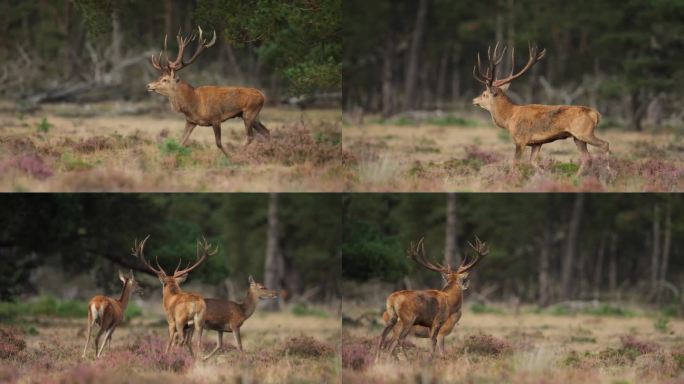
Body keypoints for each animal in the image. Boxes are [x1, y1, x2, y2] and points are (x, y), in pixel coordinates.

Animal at [147, 26, 270, 157]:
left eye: (165, 79)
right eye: (160, 77)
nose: (148, 85)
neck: (192, 104)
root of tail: (263, 96)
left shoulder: (216, 118)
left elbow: (218, 143)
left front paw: (229, 157)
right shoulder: (190, 121)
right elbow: (182, 142)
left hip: (249, 112)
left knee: (250, 136)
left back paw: (238, 154)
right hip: (254, 116)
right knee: (266, 132)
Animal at [470, 42, 608, 174]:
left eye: (484, 94)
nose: (474, 100)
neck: (508, 118)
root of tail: (596, 114)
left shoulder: (520, 139)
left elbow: (515, 163)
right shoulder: (536, 143)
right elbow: (533, 163)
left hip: (585, 132)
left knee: (605, 144)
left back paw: (608, 170)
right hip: (577, 137)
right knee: (586, 158)